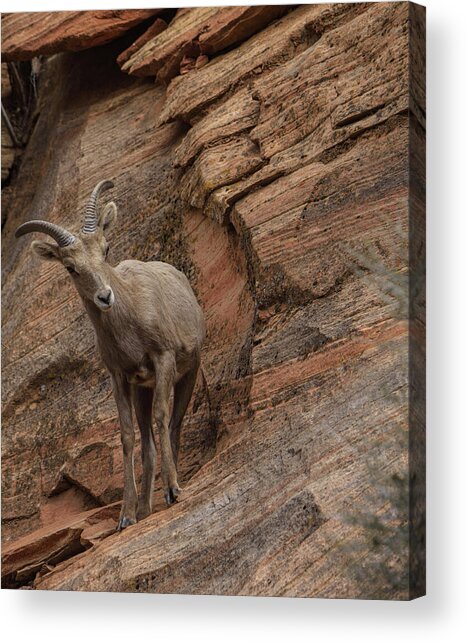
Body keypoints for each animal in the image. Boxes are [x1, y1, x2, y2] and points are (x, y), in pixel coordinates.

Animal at [15, 180, 206, 531]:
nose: (105, 296)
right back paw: (145, 508)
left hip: (189, 371)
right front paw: (126, 516)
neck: (129, 326)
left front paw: (173, 490)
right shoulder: (120, 379)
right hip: (143, 389)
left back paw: (171, 489)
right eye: (71, 268)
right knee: (147, 439)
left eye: (105, 250)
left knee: (173, 423)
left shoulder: (164, 358)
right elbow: (128, 437)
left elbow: (162, 417)